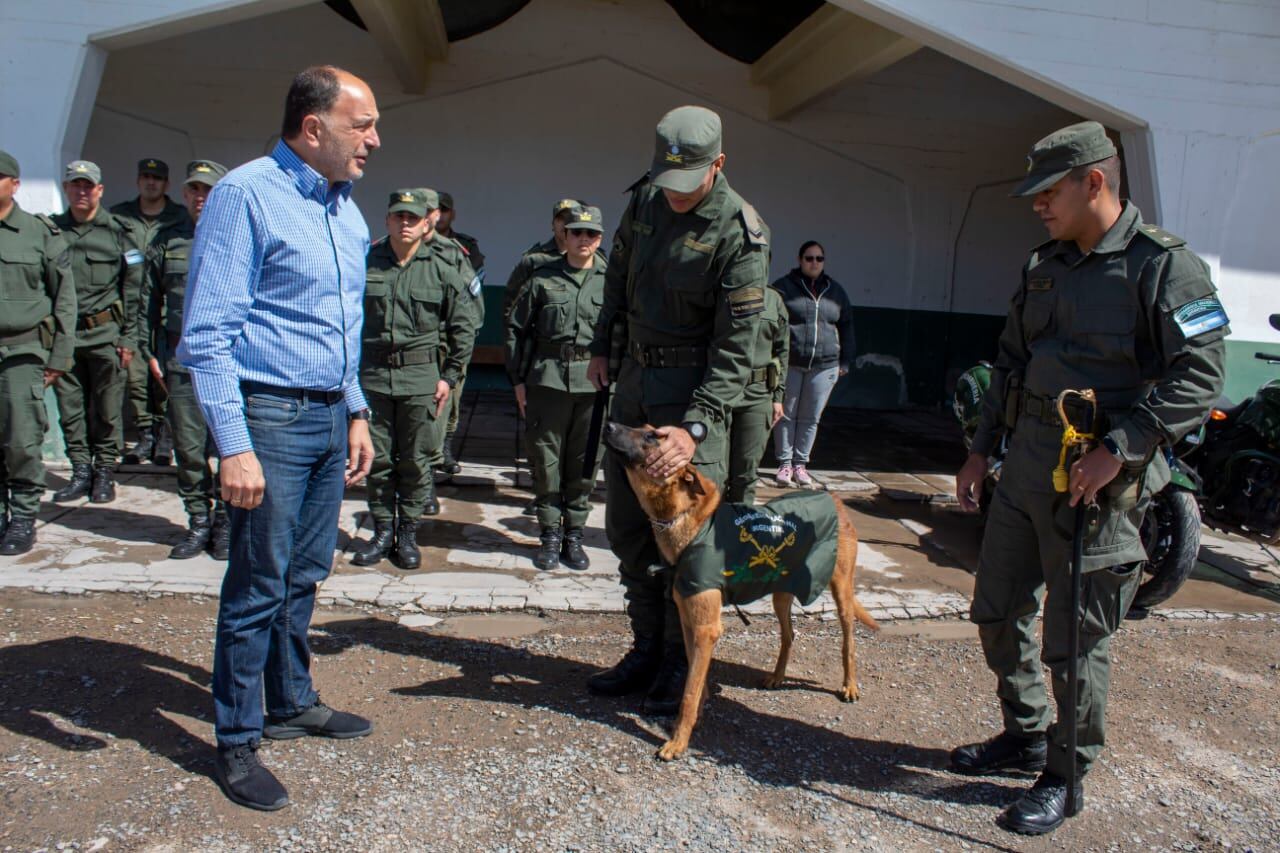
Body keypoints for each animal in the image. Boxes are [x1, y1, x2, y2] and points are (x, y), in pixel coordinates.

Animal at [604, 417, 875, 758]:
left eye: (653, 436)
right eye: (642, 427)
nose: (609, 424)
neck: (691, 524)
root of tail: (834, 498)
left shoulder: (706, 627)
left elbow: (689, 692)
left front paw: (677, 742)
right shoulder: (690, 621)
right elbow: (695, 679)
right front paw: (695, 720)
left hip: (841, 592)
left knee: (848, 643)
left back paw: (850, 685)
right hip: (781, 593)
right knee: (789, 636)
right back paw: (777, 676)